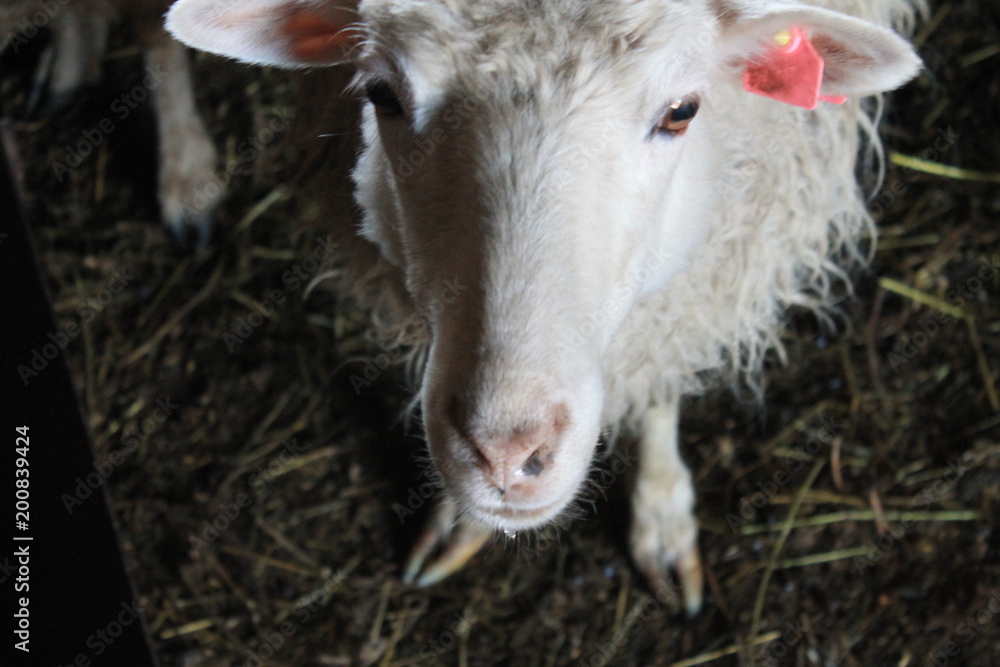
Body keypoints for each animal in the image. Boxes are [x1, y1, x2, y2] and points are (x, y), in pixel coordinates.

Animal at [166, 0, 922, 615]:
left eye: (681, 112)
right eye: (381, 93)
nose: (505, 452)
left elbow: (663, 369)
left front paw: (662, 511)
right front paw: (463, 517)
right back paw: (184, 174)